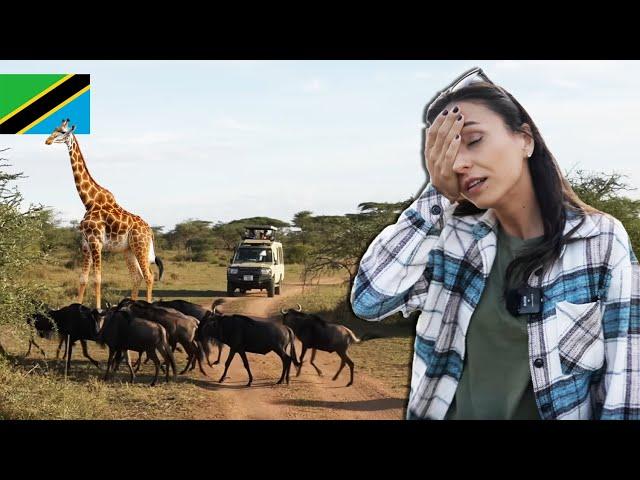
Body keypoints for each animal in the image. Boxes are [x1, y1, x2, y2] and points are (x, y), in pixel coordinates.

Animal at [45, 118, 164, 310]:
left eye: (62, 132)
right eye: (54, 129)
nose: (47, 140)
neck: (89, 201)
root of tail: (150, 231)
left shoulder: (96, 242)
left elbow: (98, 279)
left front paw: (98, 308)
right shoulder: (85, 243)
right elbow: (83, 279)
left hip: (140, 246)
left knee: (149, 276)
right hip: (128, 250)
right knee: (136, 277)